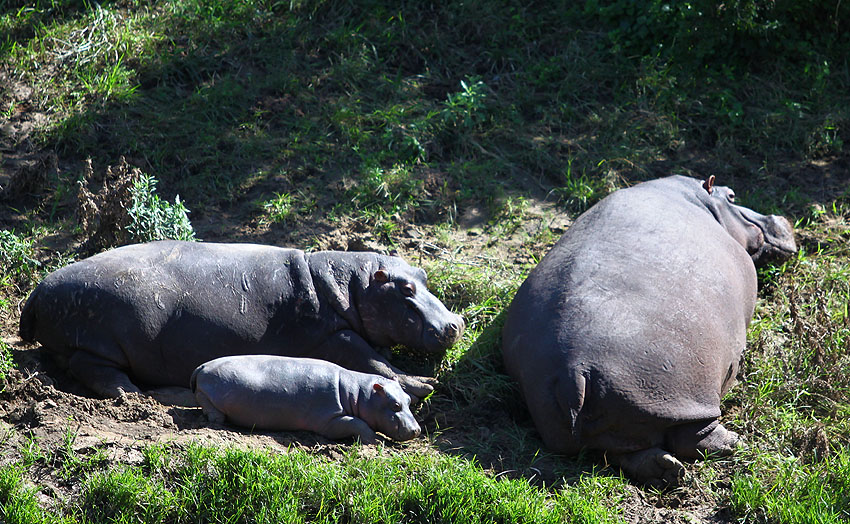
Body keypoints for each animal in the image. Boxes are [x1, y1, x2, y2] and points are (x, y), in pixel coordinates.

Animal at [18, 242, 464, 402]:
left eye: (423, 275)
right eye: (405, 290)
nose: (455, 324)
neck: (350, 285)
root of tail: (38, 290)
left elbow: (378, 358)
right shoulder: (334, 336)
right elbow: (375, 361)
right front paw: (425, 384)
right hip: (100, 338)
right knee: (91, 367)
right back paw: (131, 394)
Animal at [190, 352, 420, 442]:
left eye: (408, 401)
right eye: (395, 404)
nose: (417, 430)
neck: (357, 393)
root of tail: (202, 366)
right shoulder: (330, 420)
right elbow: (357, 423)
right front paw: (375, 440)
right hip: (208, 392)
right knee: (206, 402)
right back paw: (217, 419)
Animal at [500, 176, 792, 488]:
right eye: (733, 196)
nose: (780, 217)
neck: (700, 200)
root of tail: (574, 370)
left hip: (599, 418)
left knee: (623, 452)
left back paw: (666, 470)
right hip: (678, 392)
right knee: (694, 436)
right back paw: (735, 443)